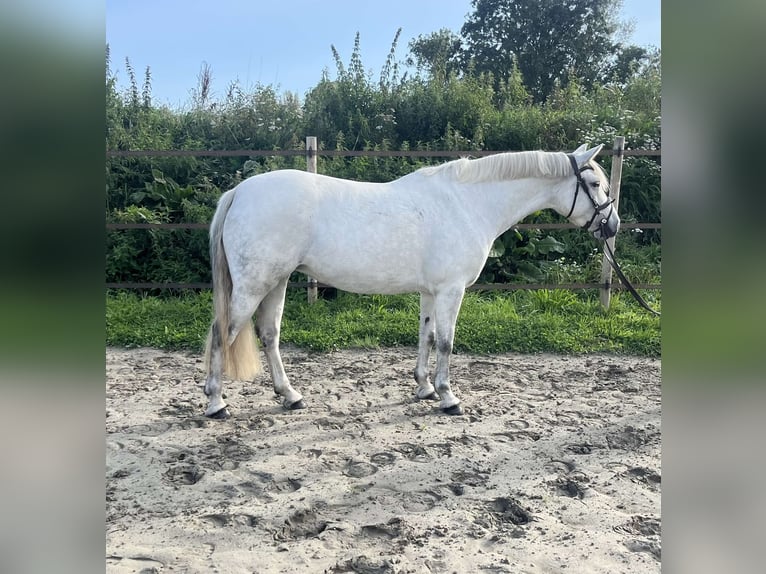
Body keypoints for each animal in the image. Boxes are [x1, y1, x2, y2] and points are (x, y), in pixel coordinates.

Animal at [202, 144, 616, 418]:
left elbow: (427, 337)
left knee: (269, 334)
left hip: (277, 282)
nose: (612, 226)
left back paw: (290, 396)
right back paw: (215, 402)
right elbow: (447, 342)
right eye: (595, 184)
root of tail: (239, 192)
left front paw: (424, 388)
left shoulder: (431, 292)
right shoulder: (451, 290)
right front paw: (448, 397)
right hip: (254, 286)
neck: (468, 204)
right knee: (222, 333)